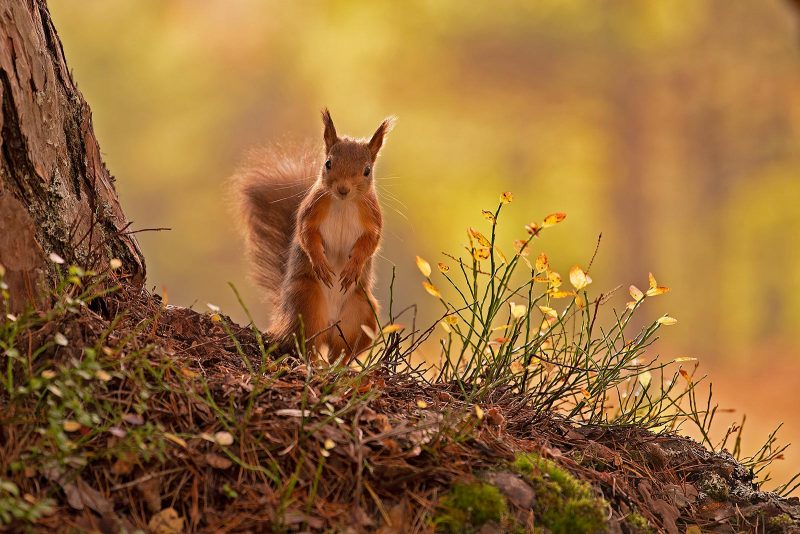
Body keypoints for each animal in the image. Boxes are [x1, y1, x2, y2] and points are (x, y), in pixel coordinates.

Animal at [231, 109, 394, 360]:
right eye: (328, 163)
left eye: (367, 170)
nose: (343, 189)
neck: (343, 203)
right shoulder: (311, 211)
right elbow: (306, 234)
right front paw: (320, 263)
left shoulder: (373, 218)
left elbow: (371, 242)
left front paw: (353, 267)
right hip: (306, 302)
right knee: (309, 344)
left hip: (362, 313)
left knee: (342, 351)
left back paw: (341, 365)